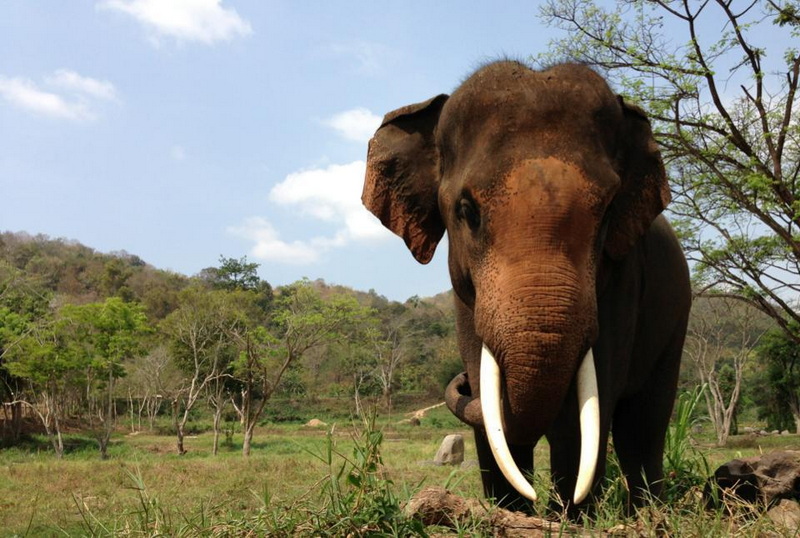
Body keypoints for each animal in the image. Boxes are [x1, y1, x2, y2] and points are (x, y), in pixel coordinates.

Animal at [361, 60, 691, 512]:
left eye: (607, 214)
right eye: (467, 211)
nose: (460, 382)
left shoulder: (623, 281)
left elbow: (586, 409)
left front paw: (567, 516)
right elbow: (492, 403)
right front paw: (510, 512)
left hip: (676, 321)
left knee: (644, 423)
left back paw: (647, 512)